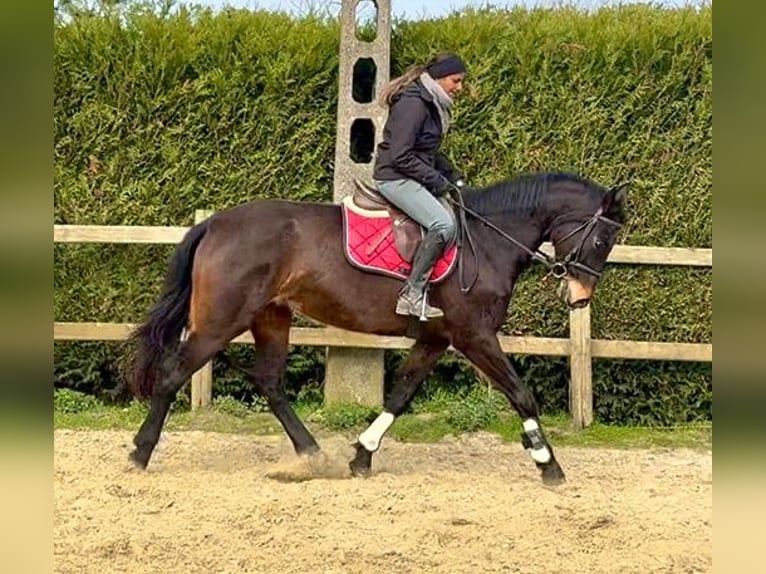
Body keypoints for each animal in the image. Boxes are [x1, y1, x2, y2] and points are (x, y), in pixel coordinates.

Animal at [126, 171, 626, 485]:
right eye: (603, 237)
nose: (580, 296)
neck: (485, 242)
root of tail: (214, 222)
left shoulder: (436, 339)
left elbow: (400, 395)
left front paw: (362, 455)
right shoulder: (474, 336)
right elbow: (521, 394)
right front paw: (548, 463)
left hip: (271, 317)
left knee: (270, 383)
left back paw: (313, 454)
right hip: (219, 322)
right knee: (172, 376)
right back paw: (139, 454)